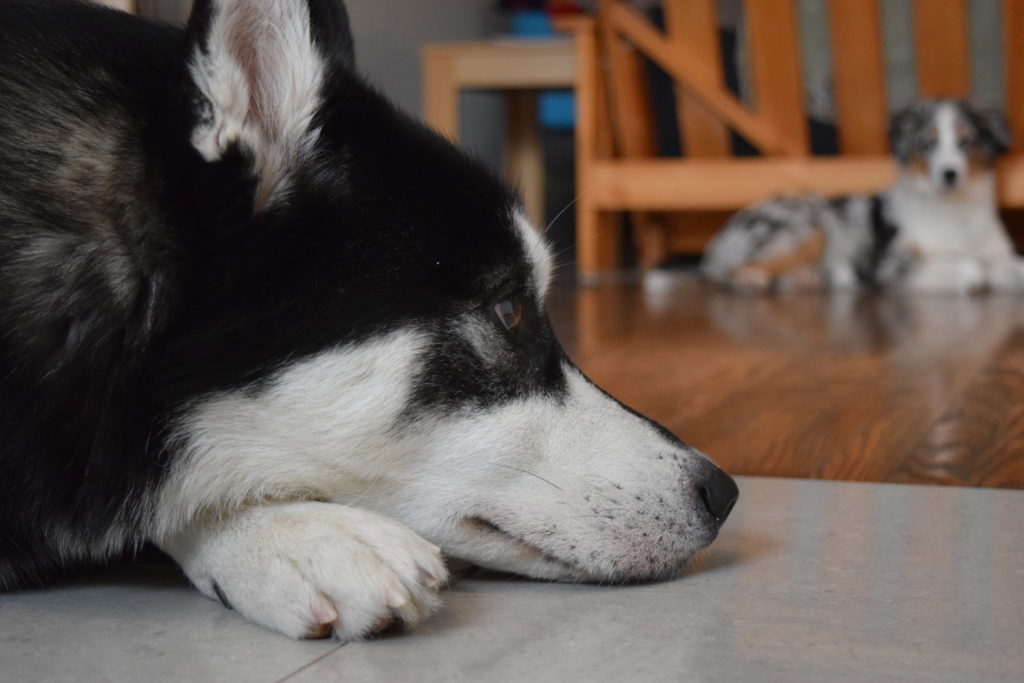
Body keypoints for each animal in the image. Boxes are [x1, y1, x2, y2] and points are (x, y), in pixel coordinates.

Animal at [700, 100, 1019, 294]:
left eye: (967, 142)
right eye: (928, 144)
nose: (949, 174)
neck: (956, 210)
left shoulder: (998, 252)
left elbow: (1007, 265)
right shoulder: (891, 264)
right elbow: (972, 268)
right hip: (806, 228)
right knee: (727, 272)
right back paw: (753, 279)